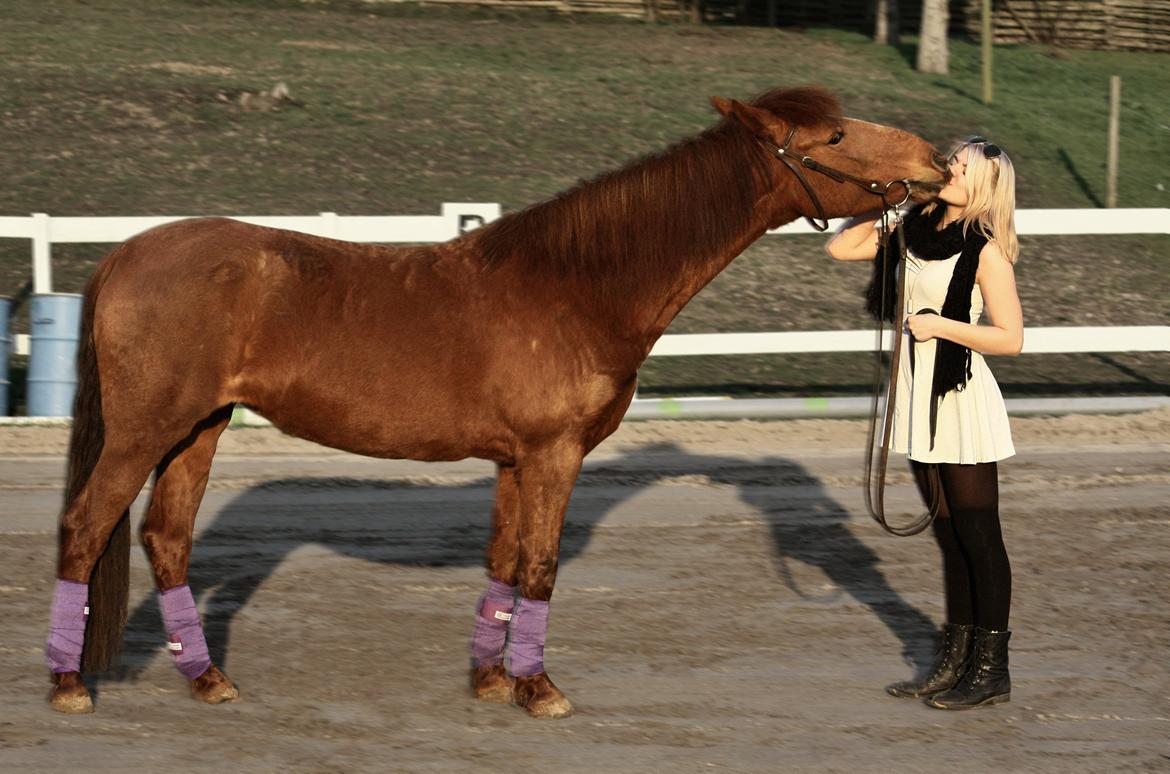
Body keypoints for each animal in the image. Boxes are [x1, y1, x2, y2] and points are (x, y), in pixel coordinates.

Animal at [45, 86, 945, 720]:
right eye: (834, 137)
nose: (937, 160)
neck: (578, 283)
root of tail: (124, 253)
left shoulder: (517, 461)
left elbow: (504, 565)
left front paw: (488, 680)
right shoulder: (553, 454)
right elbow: (540, 569)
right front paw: (540, 689)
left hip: (198, 428)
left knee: (166, 538)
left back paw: (207, 679)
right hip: (145, 432)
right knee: (87, 527)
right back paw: (66, 683)